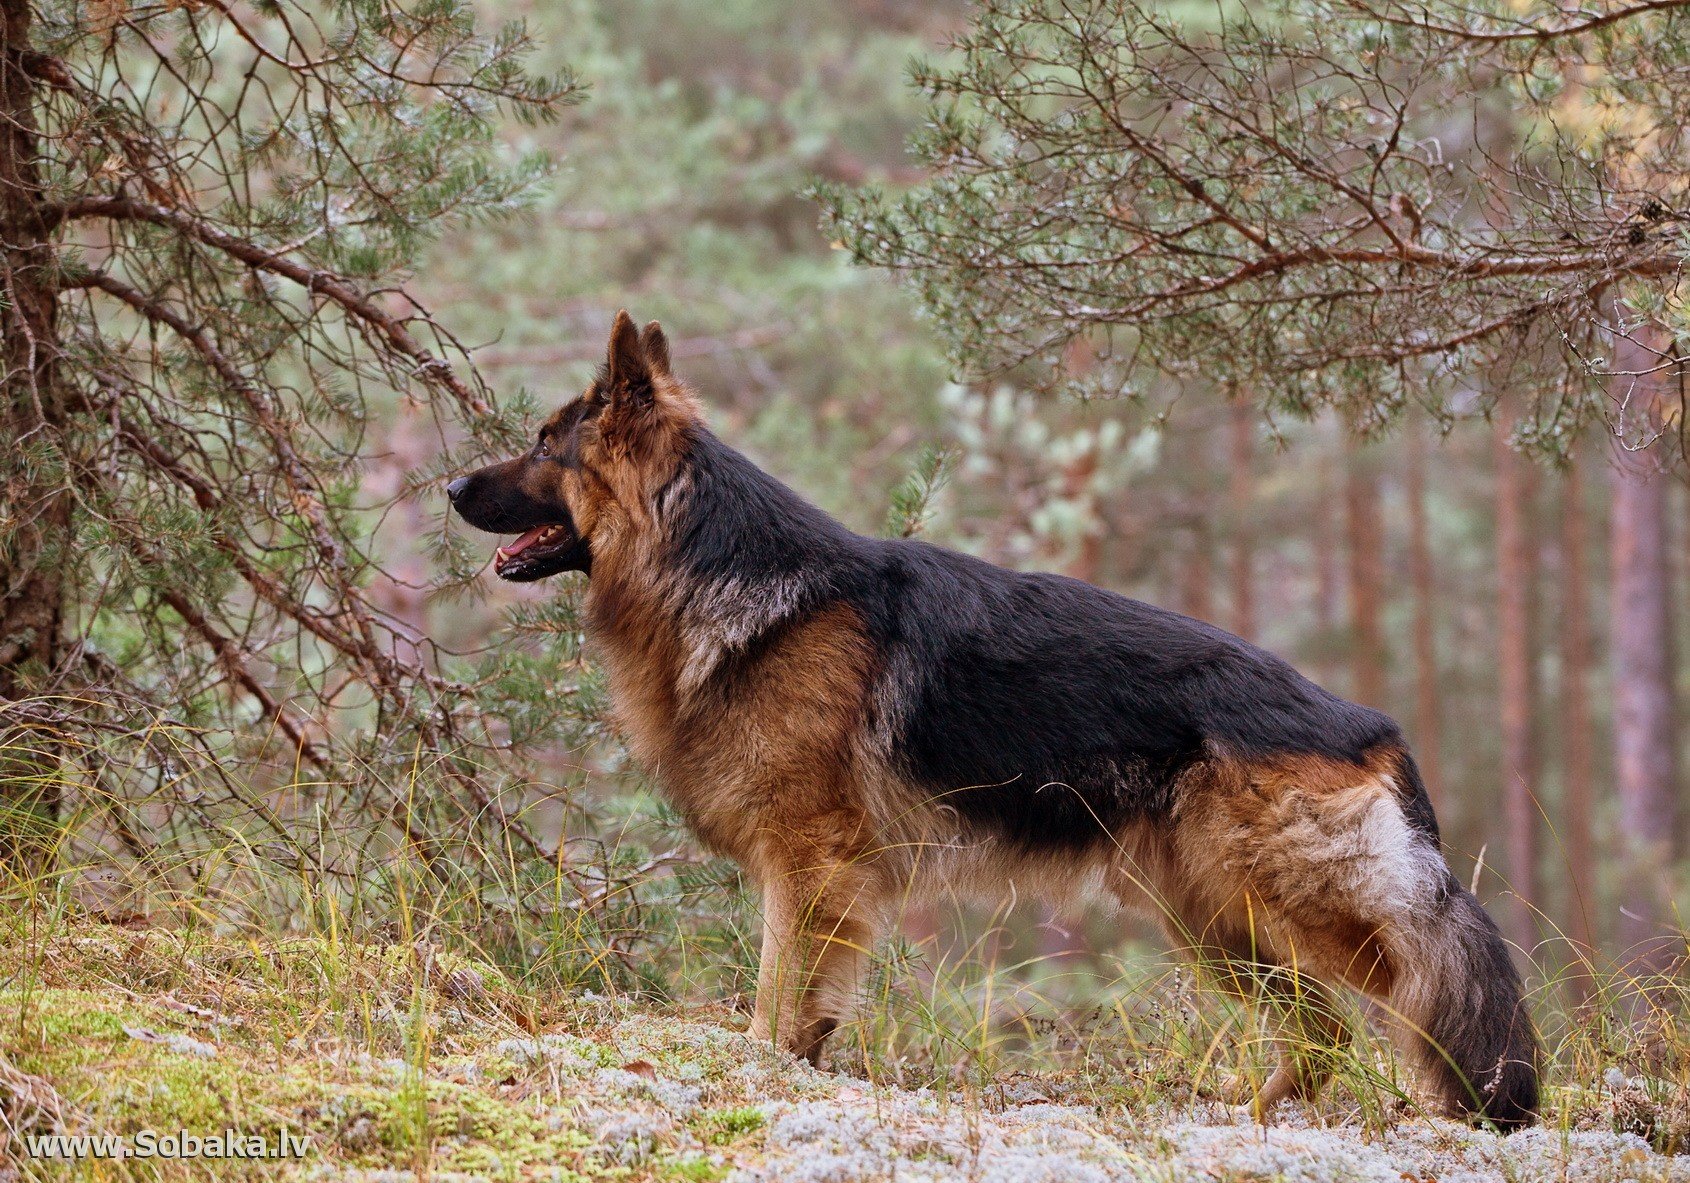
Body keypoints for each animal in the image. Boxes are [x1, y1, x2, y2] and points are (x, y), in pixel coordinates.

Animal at [449, 312, 1548, 1128]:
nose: (451, 485)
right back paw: (1252, 1114)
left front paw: (757, 1069)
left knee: (1422, 979)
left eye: (545, 446)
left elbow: (774, 989)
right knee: (1321, 1031)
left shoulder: (805, 860)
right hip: (1211, 915)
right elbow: (811, 1005)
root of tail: (1366, 720)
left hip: (1297, 905)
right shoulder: (824, 876)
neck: (722, 567)